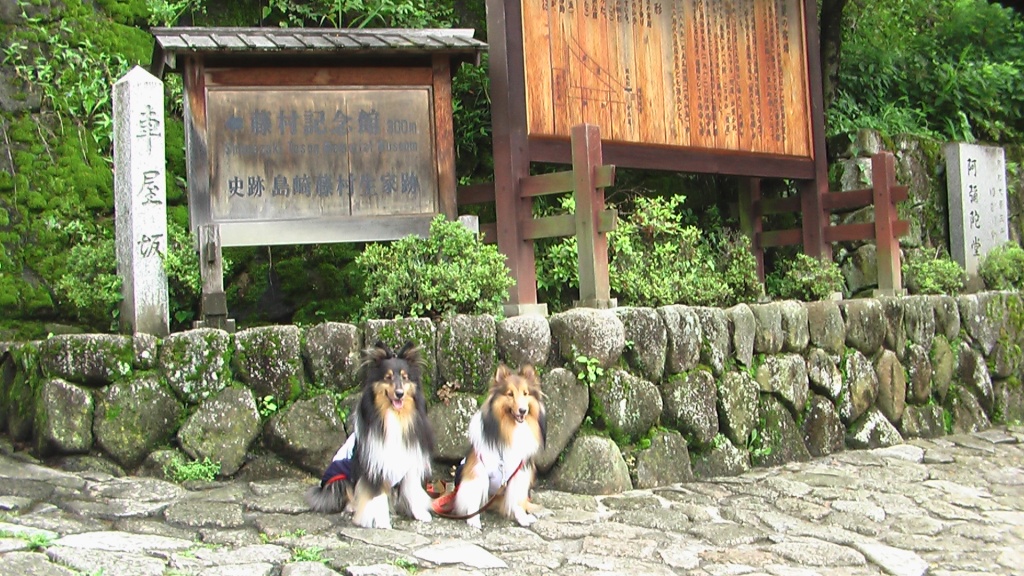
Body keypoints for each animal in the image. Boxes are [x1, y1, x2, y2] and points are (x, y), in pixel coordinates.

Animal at [306, 341, 434, 529]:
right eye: (387, 377)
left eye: (405, 377)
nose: (400, 394)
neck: (395, 416)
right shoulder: (375, 465)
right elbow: (377, 496)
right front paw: (381, 522)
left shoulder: (409, 462)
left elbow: (411, 490)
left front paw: (420, 514)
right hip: (339, 477)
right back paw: (353, 507)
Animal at [443, 364, 547, 528]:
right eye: (510, 394)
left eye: (526, 394)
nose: (523, 410)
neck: (510, 429)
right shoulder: (478, 469)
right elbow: (473, 496)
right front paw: (473, 520)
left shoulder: (519, 474)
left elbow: (517, 501)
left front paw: (522, 518)